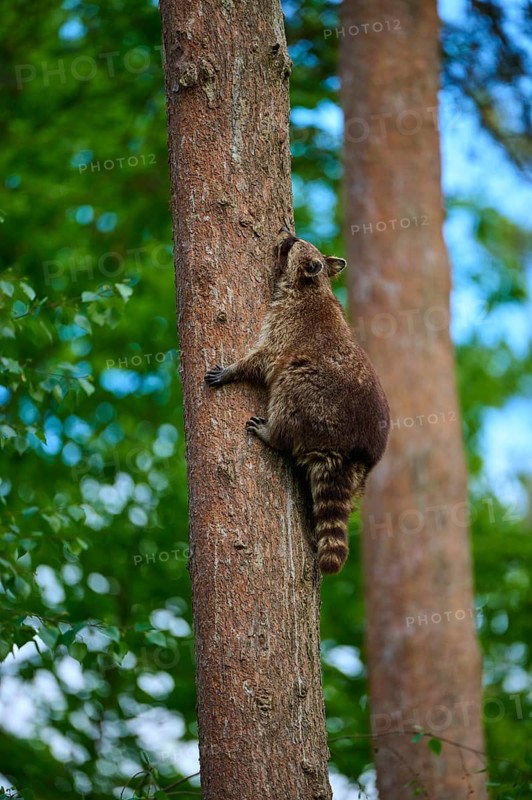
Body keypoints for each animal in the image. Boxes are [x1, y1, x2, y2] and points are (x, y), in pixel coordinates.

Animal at [205, 228, 390, 574]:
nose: (285, 233)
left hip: (312, 401)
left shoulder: (285, 324)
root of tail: (353, 451)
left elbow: (264, 358)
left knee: (289, 391)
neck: (314, 285)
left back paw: (274, 434)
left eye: (292, 244)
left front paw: (235, 369)